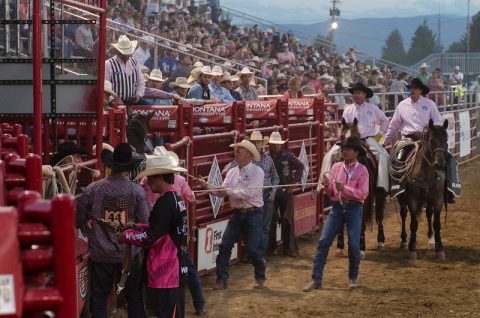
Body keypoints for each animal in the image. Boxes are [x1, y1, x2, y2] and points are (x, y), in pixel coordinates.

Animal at [336, 117, 388, 258]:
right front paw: (340, 246)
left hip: (379, 195)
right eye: (342, 136)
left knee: (379, 217)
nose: (345, 151)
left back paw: (381, 241)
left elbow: (362, 222)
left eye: (355, 137)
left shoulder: (364, 199)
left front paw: (361, 248)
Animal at [396, 118, 448, 260]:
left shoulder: (438, 199)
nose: (440, 164)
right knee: (403, 214)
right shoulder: (412, 200)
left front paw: (439, 249)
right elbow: (413, 224)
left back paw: (431, 239)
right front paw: (412, 249)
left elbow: (437, 223)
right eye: (431, 140)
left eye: (446, 139)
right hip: (402, 199)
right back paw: (404, 241)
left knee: (429, 214)